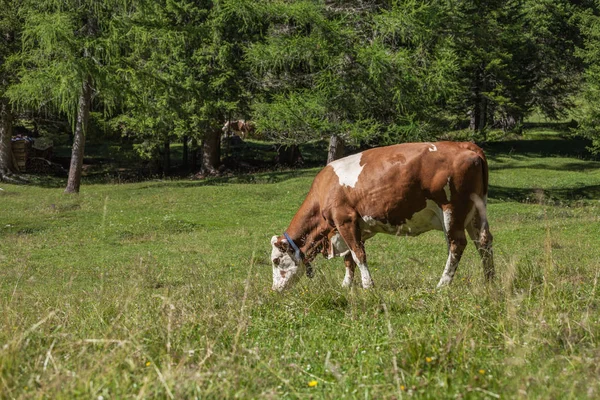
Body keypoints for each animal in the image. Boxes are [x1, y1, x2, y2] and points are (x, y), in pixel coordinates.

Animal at [270, 141, 494, 290]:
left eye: (276, 261)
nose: (275, 290)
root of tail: (466, 145)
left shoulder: (345, 220)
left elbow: (358, 254)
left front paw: (368, 285)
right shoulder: (356, 227)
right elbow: (349, 257)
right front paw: (347, 284)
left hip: (452, 209)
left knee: (457, 244)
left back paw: (442, 284)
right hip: (476, 212)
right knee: (483, 242)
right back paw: (489, 279)